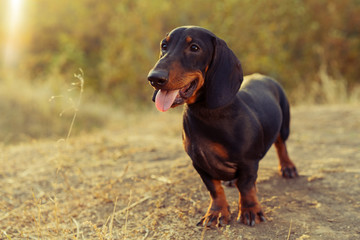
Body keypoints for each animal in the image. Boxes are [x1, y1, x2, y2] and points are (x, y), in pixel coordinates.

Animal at [147, 26, 298, 227]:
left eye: (194, 48)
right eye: (164, 45)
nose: (154, 78)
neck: (208, 115)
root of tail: (264, 77)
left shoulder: (248, 161)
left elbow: (246, 186)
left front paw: (250, 210)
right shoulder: (199, 163)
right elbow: (215, 189)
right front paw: (217, 212)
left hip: (284, 125)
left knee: (281, 145)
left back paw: (288, 167)